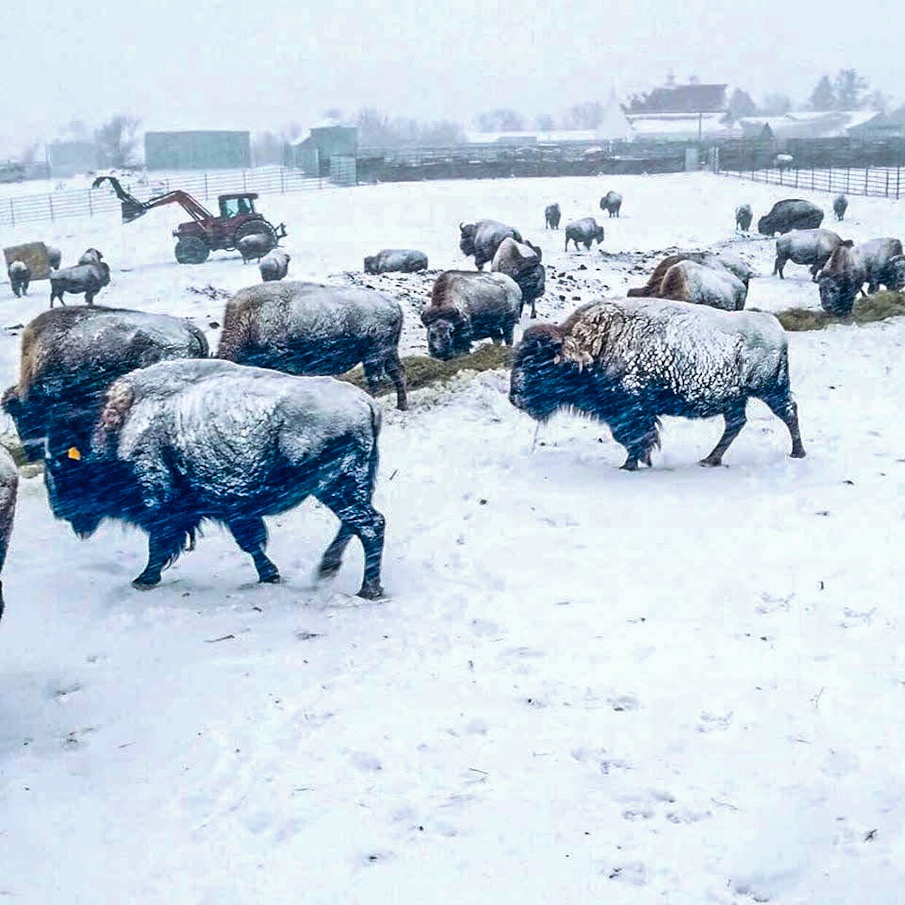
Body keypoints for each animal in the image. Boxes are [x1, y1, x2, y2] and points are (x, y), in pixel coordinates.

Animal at [42, 360, 384, 600]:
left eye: (60, 469)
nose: (59, 511)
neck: (122, 428)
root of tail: (366, 403)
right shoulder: (232, 509)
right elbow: (250, 542)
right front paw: (270, 575)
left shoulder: (165, 507)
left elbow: (159, 545)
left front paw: (143, 580)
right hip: (349, 485)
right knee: (355, 524)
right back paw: (328, 569)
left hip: (336, 486)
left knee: (370, 524)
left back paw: (368, 589)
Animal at [215, 282, 406, 410]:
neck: (250, 321)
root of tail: (394, 304)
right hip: (389, 351)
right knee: (397, 372)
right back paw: (401, 406)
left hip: (374, 354)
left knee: (376, 379)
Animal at [508, 296, 804, 470]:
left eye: (536, 365)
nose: (514, 397)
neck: (590, 347)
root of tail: (774, 326)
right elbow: (635, 437)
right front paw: (641, 461)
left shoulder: (630, 410)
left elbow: (634, 436)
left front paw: (631, 464)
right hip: (736, 399)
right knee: (737, 423)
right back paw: (710, 459)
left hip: (770, 389)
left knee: (788, 412)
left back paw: (797, 454)